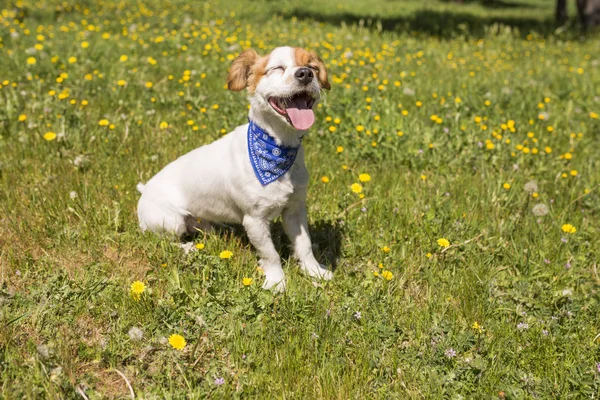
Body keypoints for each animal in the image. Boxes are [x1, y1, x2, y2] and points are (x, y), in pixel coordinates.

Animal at [136, 46, 332, 290]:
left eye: (313, 67)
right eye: (277, 68)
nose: (305, 74)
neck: (278, 151)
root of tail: (144, 190)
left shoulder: (295, 209)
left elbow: (304, 245)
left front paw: (315, 272)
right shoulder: (254, 219)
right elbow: (270, 254)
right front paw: (276, 282)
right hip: (171, 221)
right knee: (164, 241)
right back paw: (188, 248)